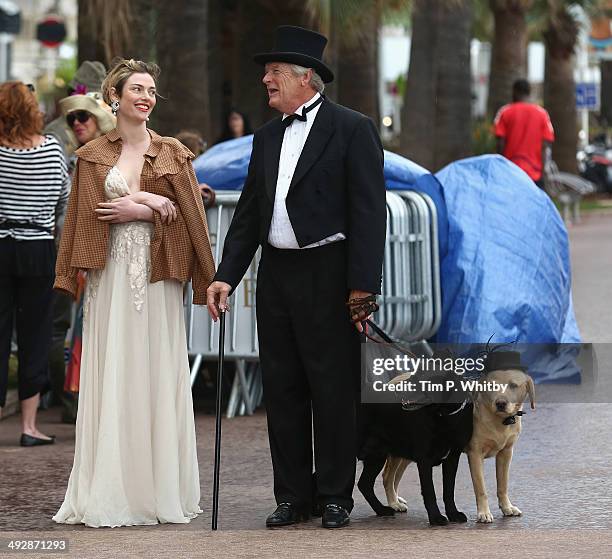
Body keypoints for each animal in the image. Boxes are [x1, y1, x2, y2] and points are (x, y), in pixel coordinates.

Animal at [464, 352, 536, 524]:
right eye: (491, 386)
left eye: (513, 385)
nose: (501, 403)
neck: (500, 421)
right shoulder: (475, 455)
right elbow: (481, 489)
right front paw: (483, 513)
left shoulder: (506, 453)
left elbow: (502, 485)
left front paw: (507, 507)